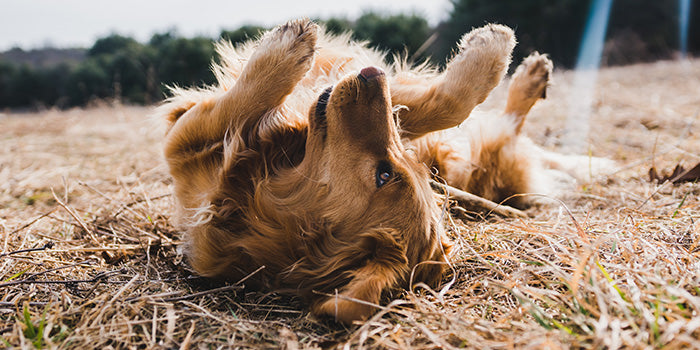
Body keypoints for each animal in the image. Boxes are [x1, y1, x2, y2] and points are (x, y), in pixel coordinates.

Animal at [160, 17, 612, 322]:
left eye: (385, 174)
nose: (372, 74)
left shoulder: (183, 146)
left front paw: (283, 52)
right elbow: (442, 105)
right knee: (505, 127)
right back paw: (533, 76)